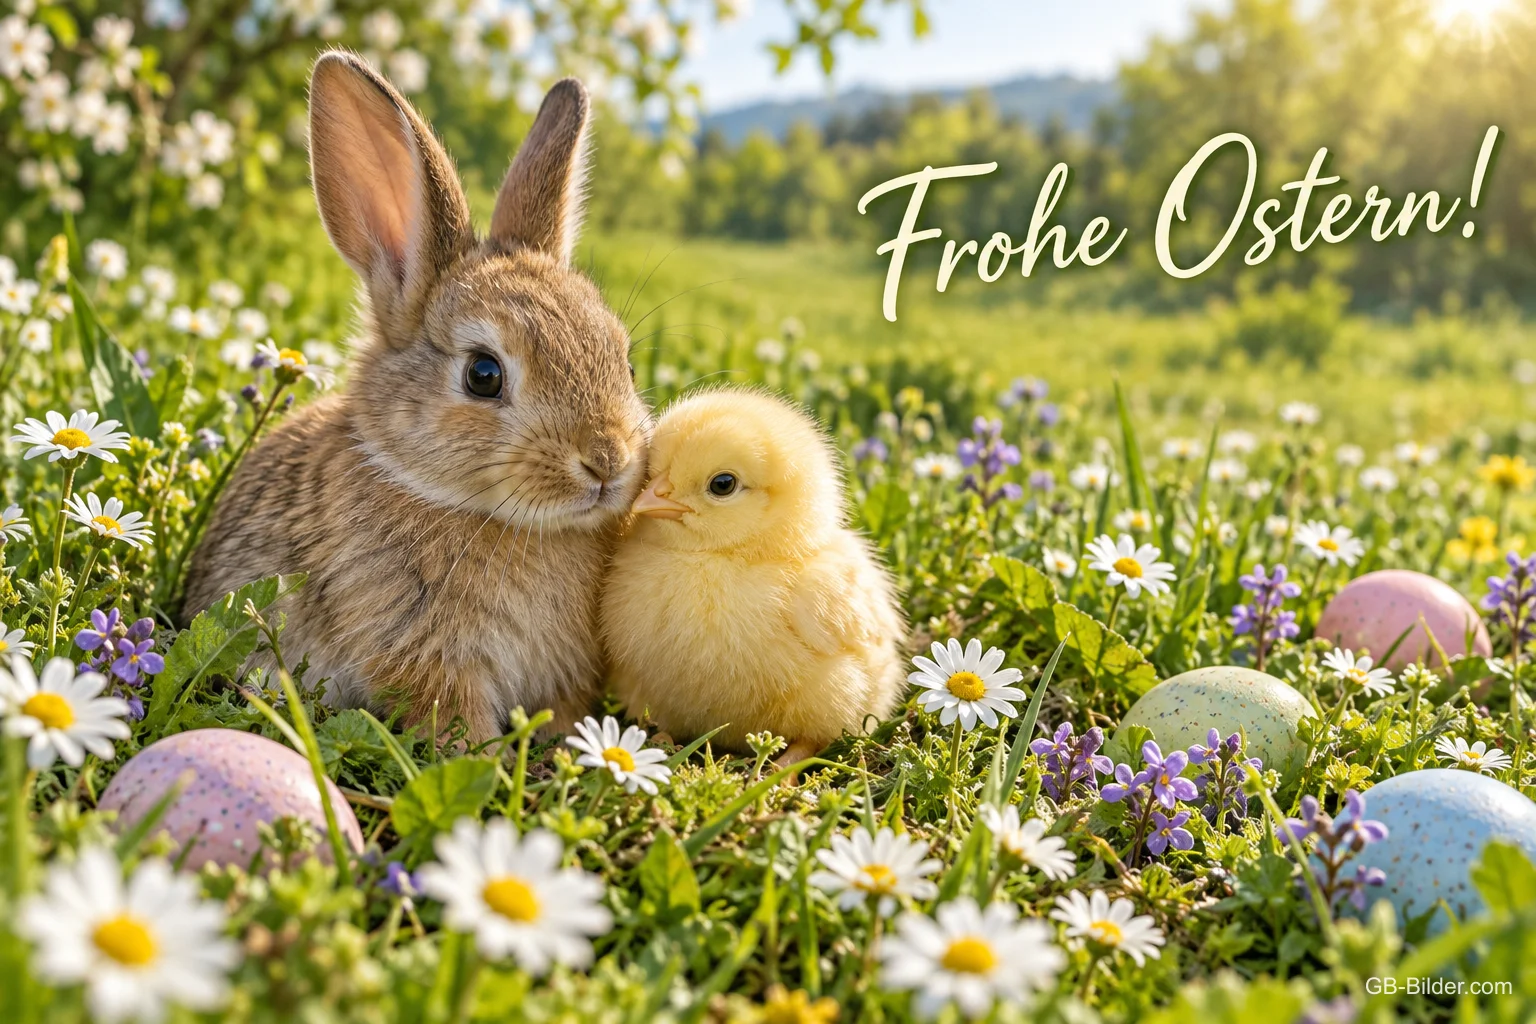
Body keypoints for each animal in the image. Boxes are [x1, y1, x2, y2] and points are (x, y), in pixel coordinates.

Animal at [183, 51, 650, 743]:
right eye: (483, 374)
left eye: (625, 359)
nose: (607, 461)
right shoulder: (424, 651)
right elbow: (450, 714)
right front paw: (484, 754)